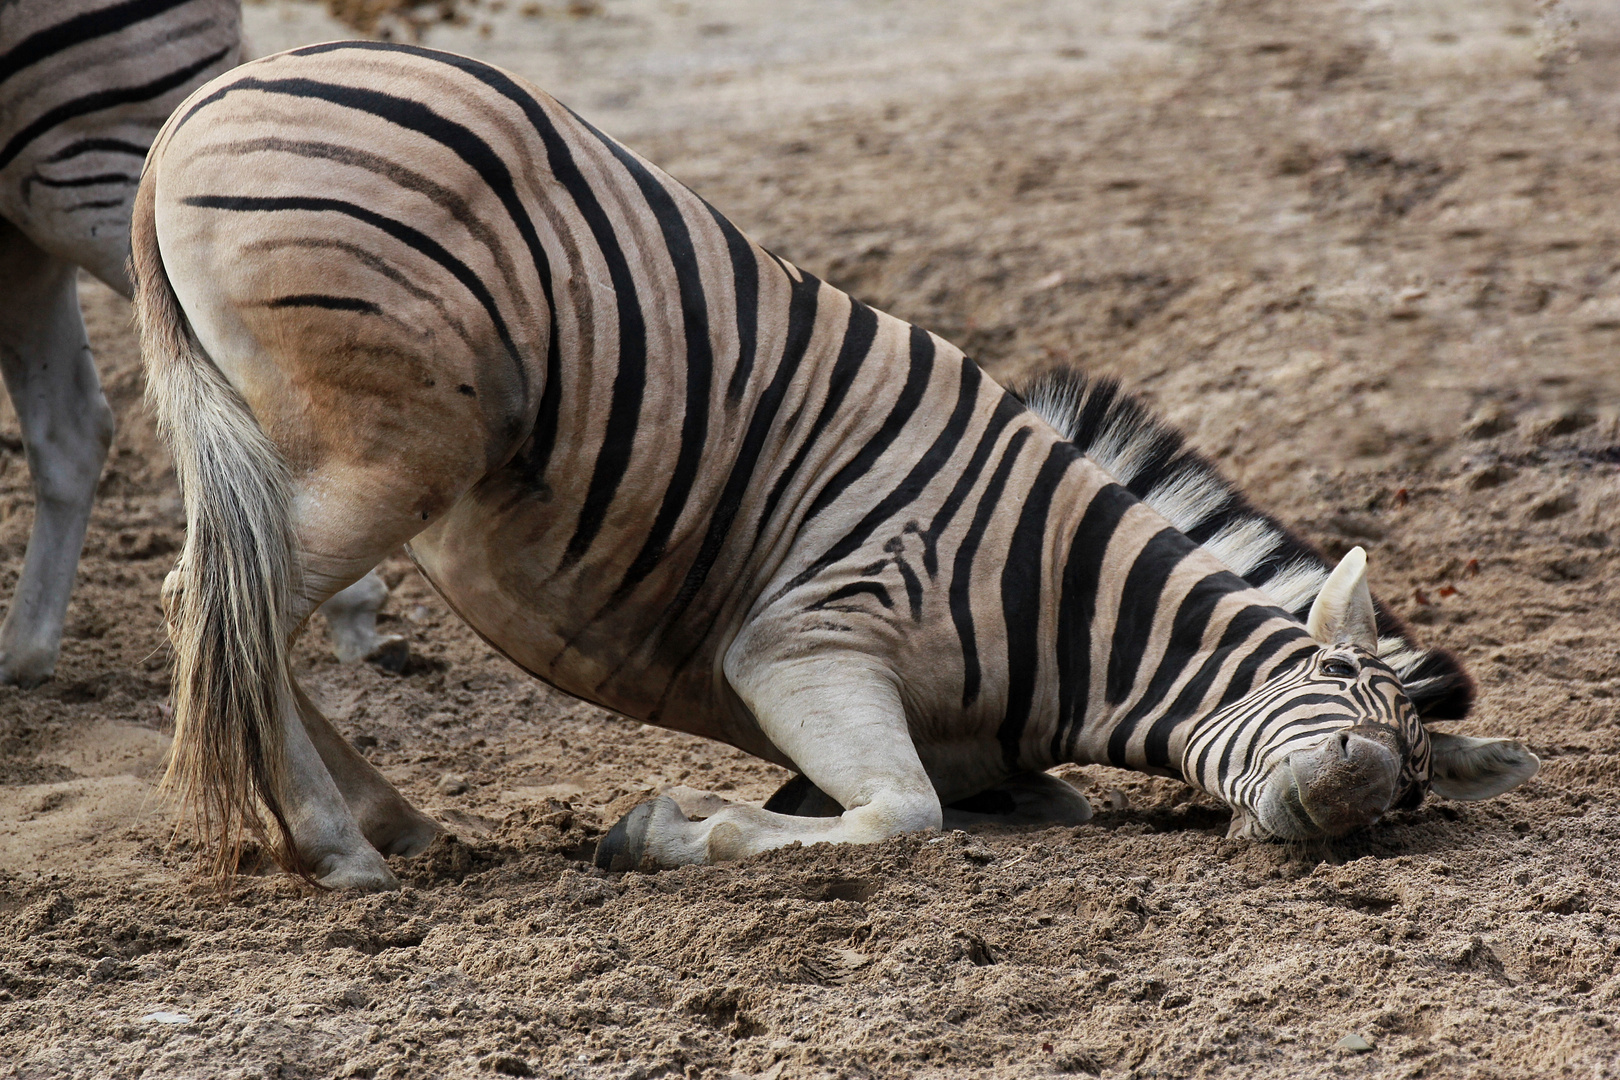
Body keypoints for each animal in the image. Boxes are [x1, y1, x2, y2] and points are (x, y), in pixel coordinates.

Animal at [132, 42, 1535, 893]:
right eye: (1339, 690)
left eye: (1410, 794)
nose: (1349, 805)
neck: (1062, 601)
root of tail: (224, 92)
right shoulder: (804, 642)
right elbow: (901, 815)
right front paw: (672, 826)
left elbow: (1030, 806)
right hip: (391, 451)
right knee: (217, 603)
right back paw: (339, 846)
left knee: (231, 613)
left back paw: (392, 826)